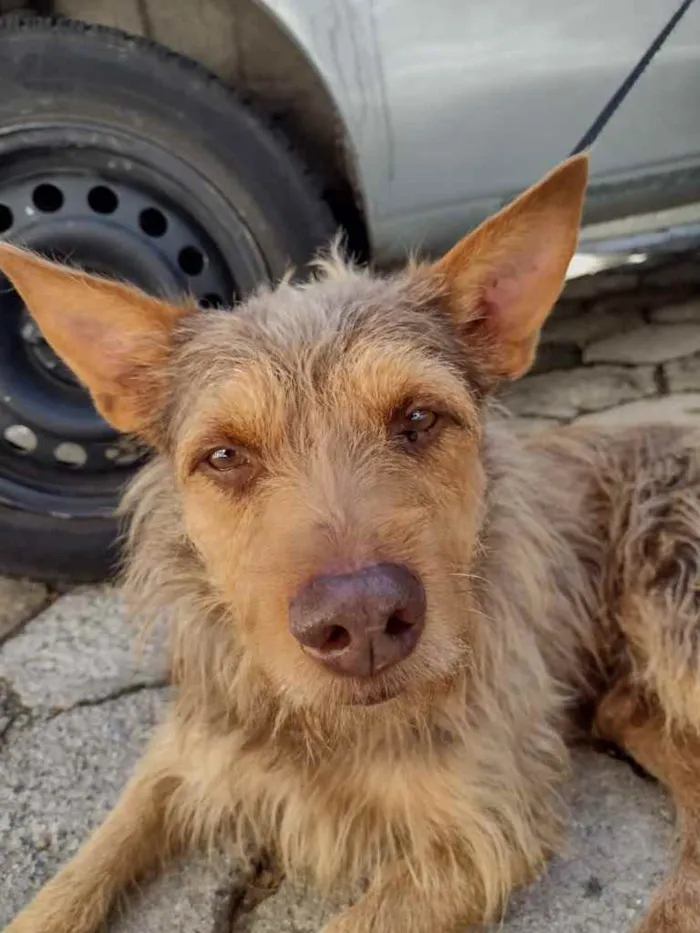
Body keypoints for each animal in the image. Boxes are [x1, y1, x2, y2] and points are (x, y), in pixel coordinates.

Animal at [1, 155, 700, 932]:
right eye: (224, 456)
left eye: (419, 417)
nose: (362, 620)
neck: (328, 727)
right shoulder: (185, 752)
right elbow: (85, 863)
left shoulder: (484, 826)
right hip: (626, 702)